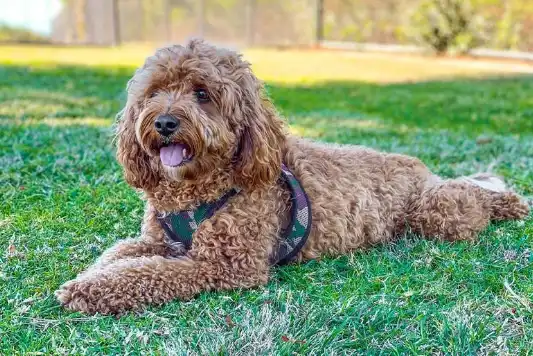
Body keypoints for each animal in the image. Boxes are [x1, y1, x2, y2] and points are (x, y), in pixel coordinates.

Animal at [54, 40, 528, 316]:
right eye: (154, 92)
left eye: (203, 94)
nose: (165, 122)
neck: (198, 188)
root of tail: (419, 167)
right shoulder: (157, 240)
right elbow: (121, 256)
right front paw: (90, 277)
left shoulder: (226, 265)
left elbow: (147, 273)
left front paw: (87, 291)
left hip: (435, 213)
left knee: (471, 199)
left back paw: (507, 201)